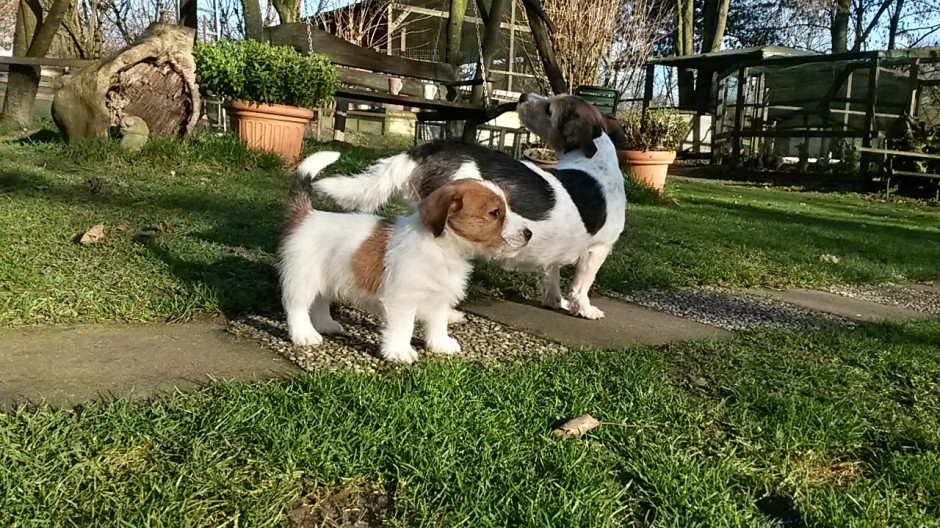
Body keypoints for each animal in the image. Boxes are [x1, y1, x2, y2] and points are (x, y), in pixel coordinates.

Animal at [278, 148, 528, 364]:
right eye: (495, 213)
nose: (529, 233)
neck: (442, 247)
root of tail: (307, 214)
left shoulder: (439, 298)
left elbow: (438, 322)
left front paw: (440, 345)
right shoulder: (403, 300)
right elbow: (404, 327)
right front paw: (399, 351)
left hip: (327, 278)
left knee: (320, 301)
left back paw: (325, 324)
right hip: (303, 279)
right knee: (297, 306)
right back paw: (304, 334)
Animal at [312, 93, 628, 320]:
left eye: (549, 107)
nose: (523, 95)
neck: (592, 162)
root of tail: (430, 147)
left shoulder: (556, 254)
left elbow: (551, 275)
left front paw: (554, 301)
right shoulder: (598, 250)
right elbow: (582, 285)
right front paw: (584, 309)